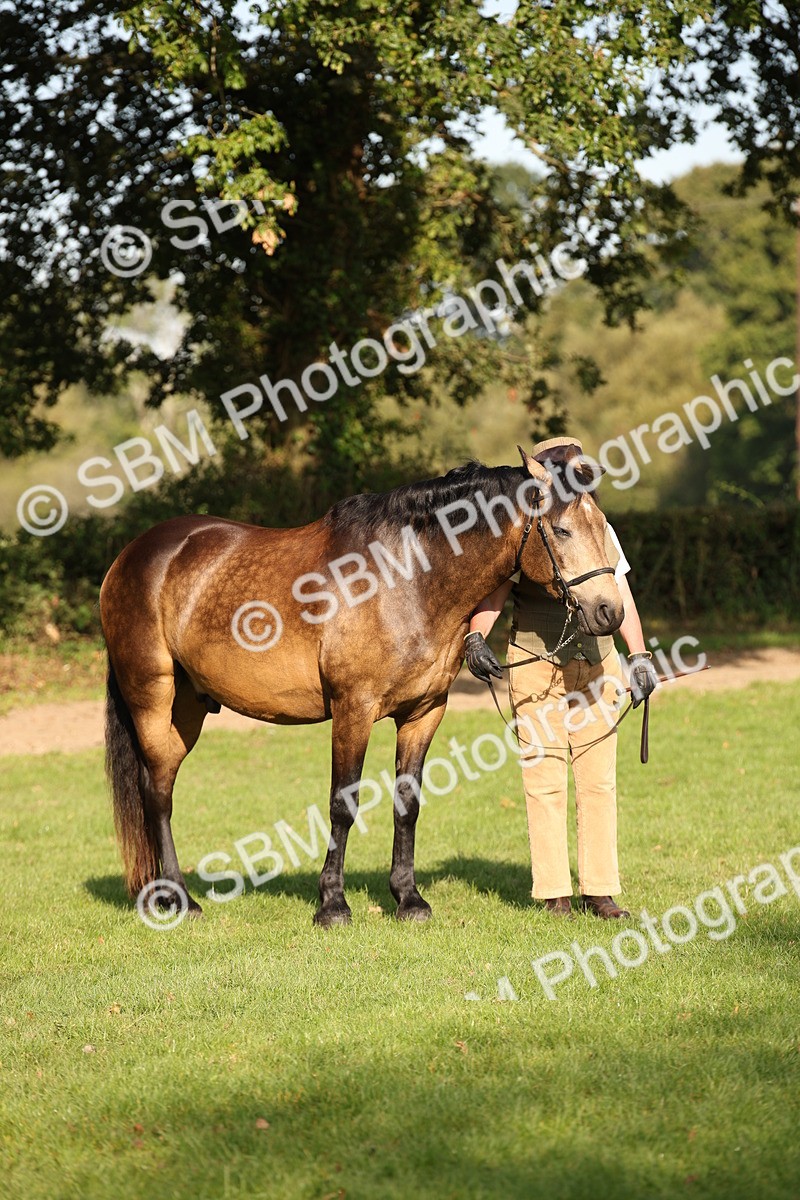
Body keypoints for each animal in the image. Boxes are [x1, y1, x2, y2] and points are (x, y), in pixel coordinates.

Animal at [100, 444, 624, 926]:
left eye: (603, 528)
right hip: (152, 697)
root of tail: (133, 554)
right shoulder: (354, 709)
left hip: (186, 708)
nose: (610, 612)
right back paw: (181, 901)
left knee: (161, 783)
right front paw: (332, 905)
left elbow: (407, 803)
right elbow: (342, 805)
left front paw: (409, 899)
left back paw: (163, 895)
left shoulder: (424, 712)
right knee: (156, 793)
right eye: (562, 530)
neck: (405, 580)